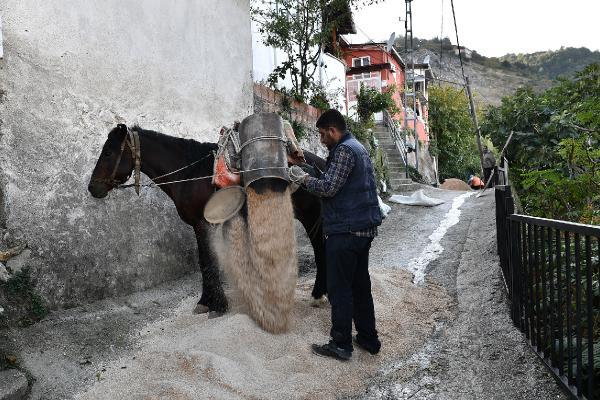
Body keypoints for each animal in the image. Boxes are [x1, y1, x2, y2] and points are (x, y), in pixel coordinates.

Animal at [86, 123, 326, 314]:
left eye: (108, 152)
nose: (93, 188)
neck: (190, 174)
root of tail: (320, 165)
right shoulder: (200, 225)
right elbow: (205, 260)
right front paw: (207, 301)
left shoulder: (204, 224)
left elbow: (208, 261)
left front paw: (216, 304)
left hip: (311, 216)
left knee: (319, 248)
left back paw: (318, 294)